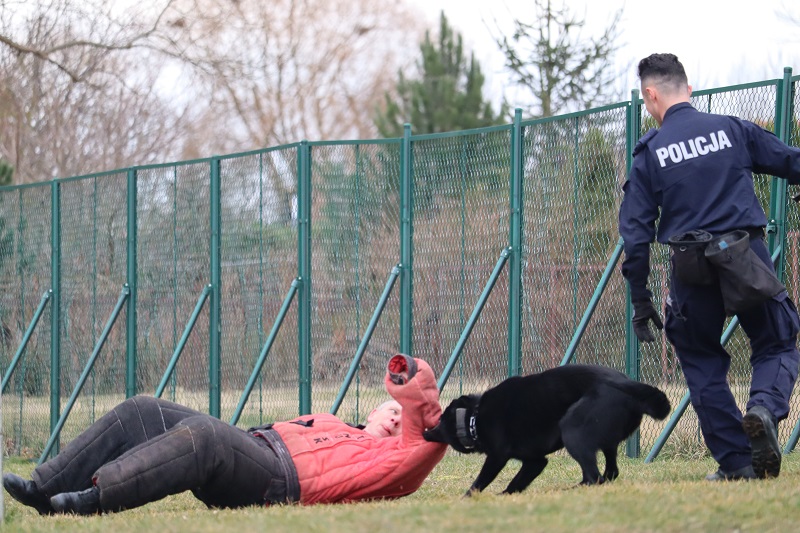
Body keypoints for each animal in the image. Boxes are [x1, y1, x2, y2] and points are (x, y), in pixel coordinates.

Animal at [422, 364, 672, 492]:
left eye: (440, 421)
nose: (425, 432)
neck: (473, 418)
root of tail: (627, 385)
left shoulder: (497, 457)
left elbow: (479, 483)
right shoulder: (535, 462)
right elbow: (517, 482)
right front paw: (506, 496)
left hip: (573, 431)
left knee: (594, 475)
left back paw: (571, 490)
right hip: (604, 441)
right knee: (609, 472)